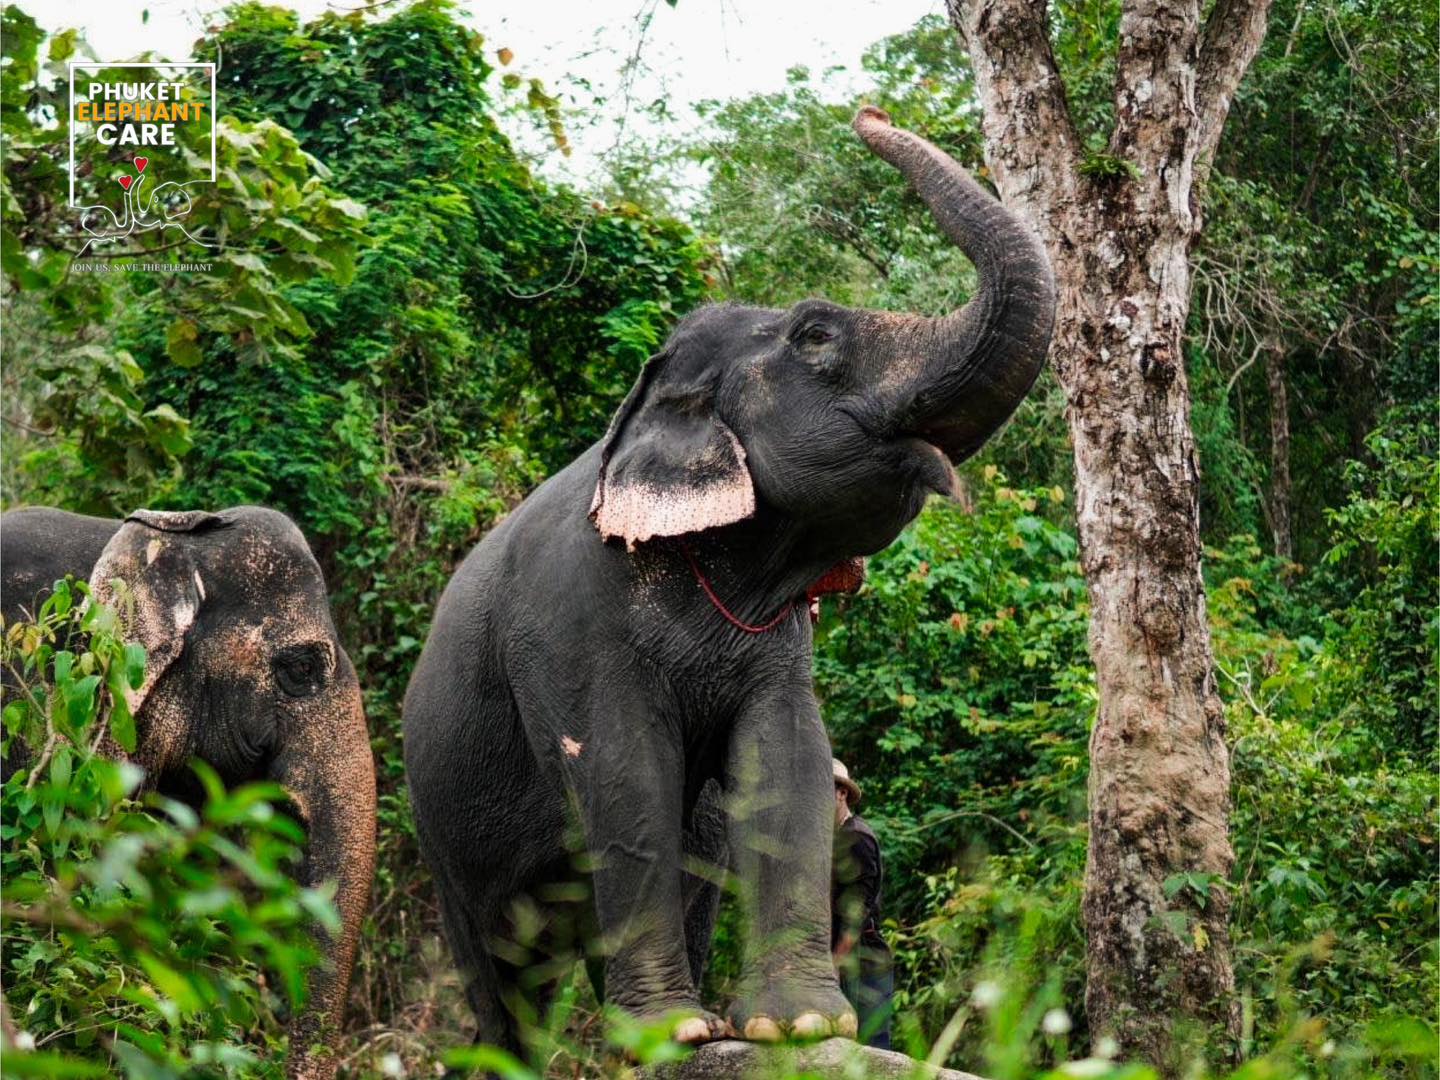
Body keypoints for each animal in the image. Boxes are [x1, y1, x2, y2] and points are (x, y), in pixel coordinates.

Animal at [401, 106, 1055, 1056]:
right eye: (816, 334)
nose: (866, 112)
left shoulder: (781, 639)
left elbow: (785, 758)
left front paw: (799, 1026)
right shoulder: (570, 620)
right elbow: (625, 770)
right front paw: (667, 1036)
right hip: (434, 818)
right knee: (497, 968)